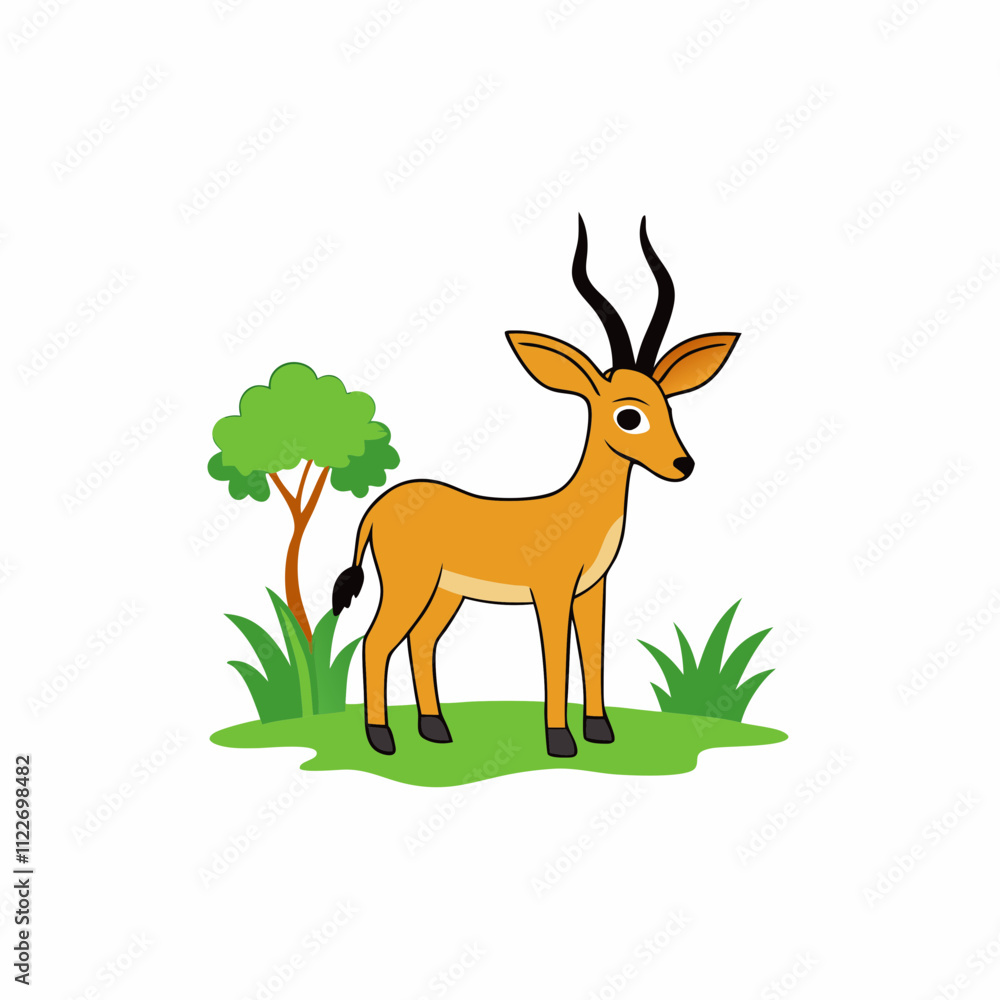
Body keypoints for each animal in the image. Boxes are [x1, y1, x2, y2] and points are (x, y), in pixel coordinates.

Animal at [332, 217, 740, 757]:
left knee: (421, 641)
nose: (683, 464)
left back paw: (436, 729)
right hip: (408, 585)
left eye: (668, 405)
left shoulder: (592, 591)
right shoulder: (551, 593)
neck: (575, 512)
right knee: (375, 641)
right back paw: (382, 739)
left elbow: (593, 651)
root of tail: (376, 508)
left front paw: (600, 730)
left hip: (446, 593)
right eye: (629, 415)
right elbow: (556, 657)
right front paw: (560, 740)